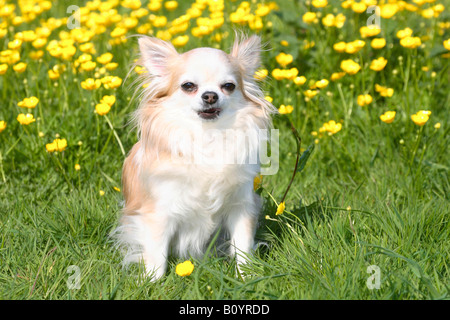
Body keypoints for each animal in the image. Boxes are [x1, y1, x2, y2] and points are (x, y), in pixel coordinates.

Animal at [114, 33, 276, 282]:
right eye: (188, 86)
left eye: (228, 86)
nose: (210, 95)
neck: (208, 137)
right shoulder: (158, 212)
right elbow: (156, 252)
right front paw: (152, 281)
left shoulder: (241, 205)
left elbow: (243, 245)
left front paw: (247, 276)